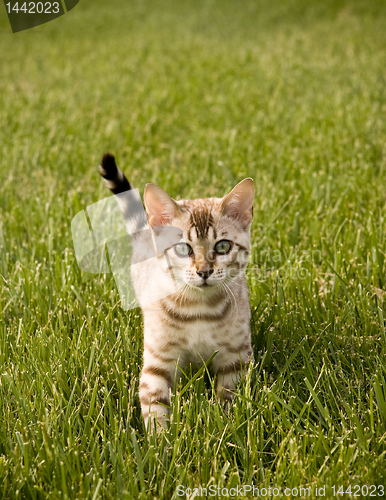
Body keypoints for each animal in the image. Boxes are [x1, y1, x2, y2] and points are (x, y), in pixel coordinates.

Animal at [99, 153, 253, 430]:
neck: (200, 308)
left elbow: (230, 399)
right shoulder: (158, 361)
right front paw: (160, 439)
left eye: (223, 246)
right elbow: (155, 404)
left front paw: (225, 426)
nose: (204, 271)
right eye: (183, 249)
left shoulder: (235, 357)